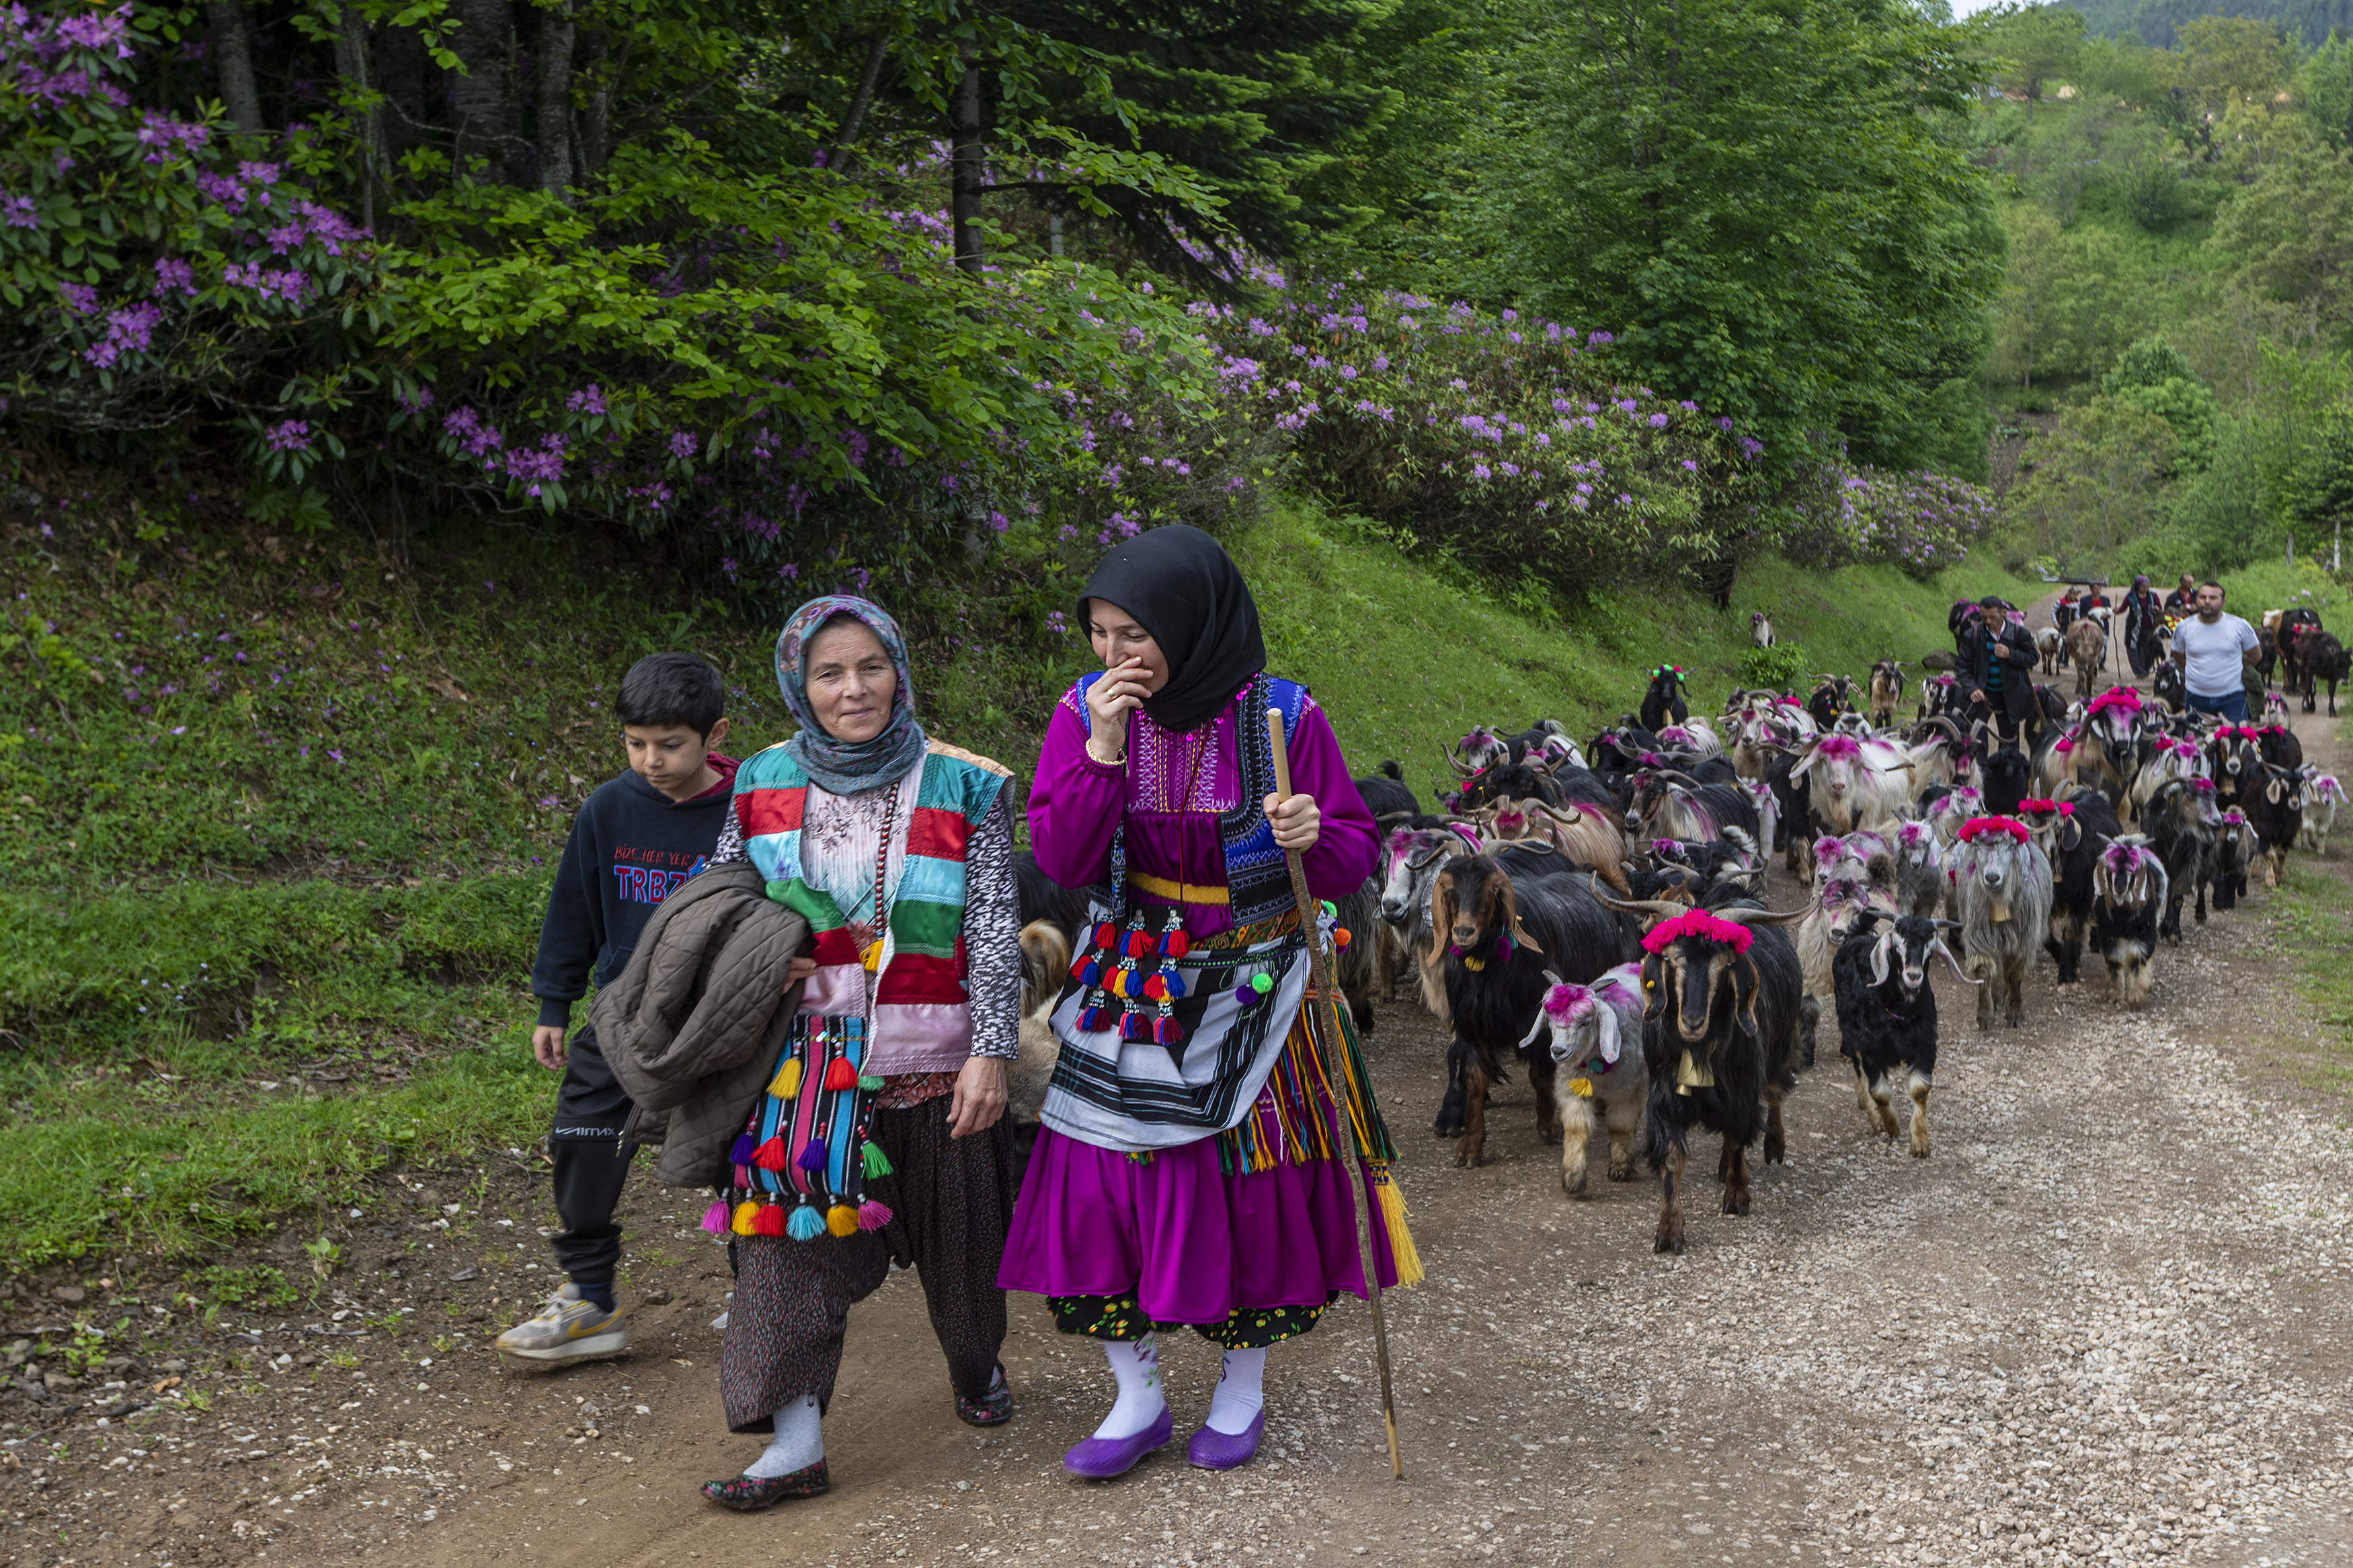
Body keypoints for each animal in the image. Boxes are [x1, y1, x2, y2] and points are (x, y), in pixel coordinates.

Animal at [1431, 846, 1638, 1165]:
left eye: (1492, 889)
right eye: (1449, 888)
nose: (1464, 932)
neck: (1489, 970)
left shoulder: (1538, 1019)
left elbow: (1539, 1075)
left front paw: (1548, 1125)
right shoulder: (1473, 1024)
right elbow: (1475, 1082)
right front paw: (1470, 1147)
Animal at [1591, 893, 1807, 1250]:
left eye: (1724, 966)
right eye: (1671, 960)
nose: (1692, 1021)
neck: (1699, 1050)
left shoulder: (1741, 1093)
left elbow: (1736, 1138)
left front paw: (1737, 1196)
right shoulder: (1663, 1100)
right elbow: (1671, 1158)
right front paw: (1669, 1231)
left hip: (1781, 1044)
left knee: (1775, 1092)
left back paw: (1774, 1146)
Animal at [1826, 912, 1977, 1161]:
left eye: (1930, 945)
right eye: (1898, 943)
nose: (1913, 975)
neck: (1901, 1014)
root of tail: (1858, 937)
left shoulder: (1925, 1047)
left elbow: (1919, 1091)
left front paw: (1920, 1142)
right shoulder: (1871, 1049)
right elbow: (1879, 1092)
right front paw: (1891, 1125)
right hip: (1849, 1032)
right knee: (1860, 1074)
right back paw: (1874, 1117)